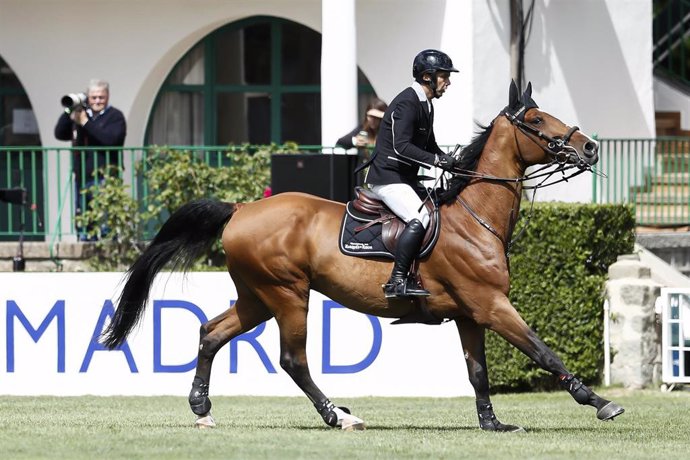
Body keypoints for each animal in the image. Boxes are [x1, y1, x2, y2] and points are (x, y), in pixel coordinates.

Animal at [101, 82, 624, 432]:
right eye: (536, 122)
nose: (589, 147)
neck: (476, 217)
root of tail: (243, 207)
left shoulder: (470, 314)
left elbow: (478, 372)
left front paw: (493, 424)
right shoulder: (492, 305)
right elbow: (542, 349)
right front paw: (598, 401)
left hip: (256, 296)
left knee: (212, 332)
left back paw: (202, 408)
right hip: (287, 294)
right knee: (293, 359)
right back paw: (338, 416)